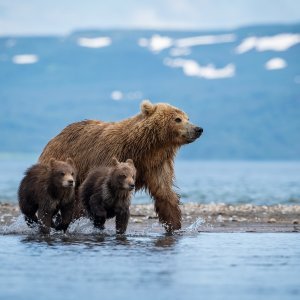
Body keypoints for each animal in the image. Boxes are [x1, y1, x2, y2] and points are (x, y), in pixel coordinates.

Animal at [38, 101, 203, 232]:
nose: (198, 129)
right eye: (177, 119)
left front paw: (175, 226)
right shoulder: (110, 157)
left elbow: (165, 193)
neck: (144, 148)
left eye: (188, 118)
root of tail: (55, 137)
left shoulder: (156, 165)